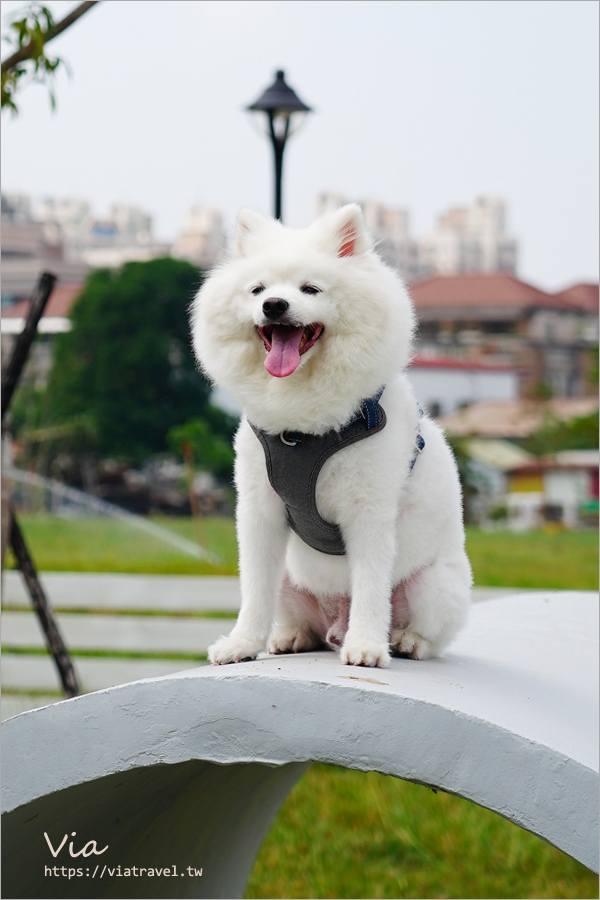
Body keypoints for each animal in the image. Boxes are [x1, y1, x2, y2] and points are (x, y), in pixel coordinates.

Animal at [190, 204, 472, 668]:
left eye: (311, 289)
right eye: (257, 290)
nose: (274, 304)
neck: (302, 431)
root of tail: (336, 619)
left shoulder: (369, 512)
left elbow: (372, 588)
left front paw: (367, 647)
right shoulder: (260, 512)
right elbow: (254, 591)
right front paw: (242, 644)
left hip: (432, 585)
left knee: (427, 631)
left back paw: (404, 641)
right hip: (291, 578)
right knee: (301, 621)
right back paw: (291, 636)